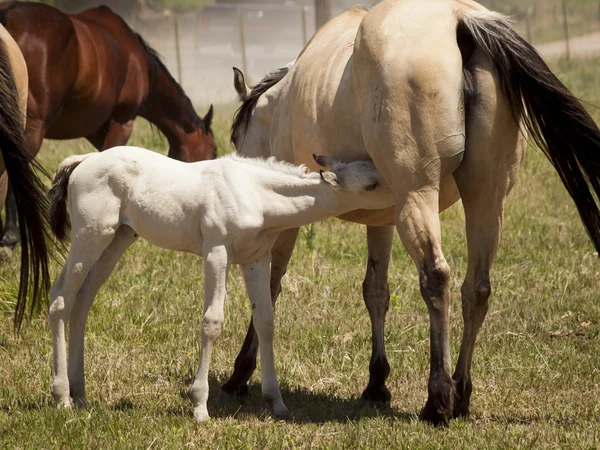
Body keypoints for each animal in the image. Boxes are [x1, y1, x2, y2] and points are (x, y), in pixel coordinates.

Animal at [47, 147, 394, 422]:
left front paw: (277, 404)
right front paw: (200, 405)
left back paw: (81, 394)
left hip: (117, 239)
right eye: (372, 184)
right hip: (91, 236)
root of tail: (84, 160)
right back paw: (62, 397)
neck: (255, 194)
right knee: (61, 297)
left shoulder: (257, 259)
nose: (398, 198)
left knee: (83, 300)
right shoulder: (217, 252)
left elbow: (265, 321)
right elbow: (212, 322)